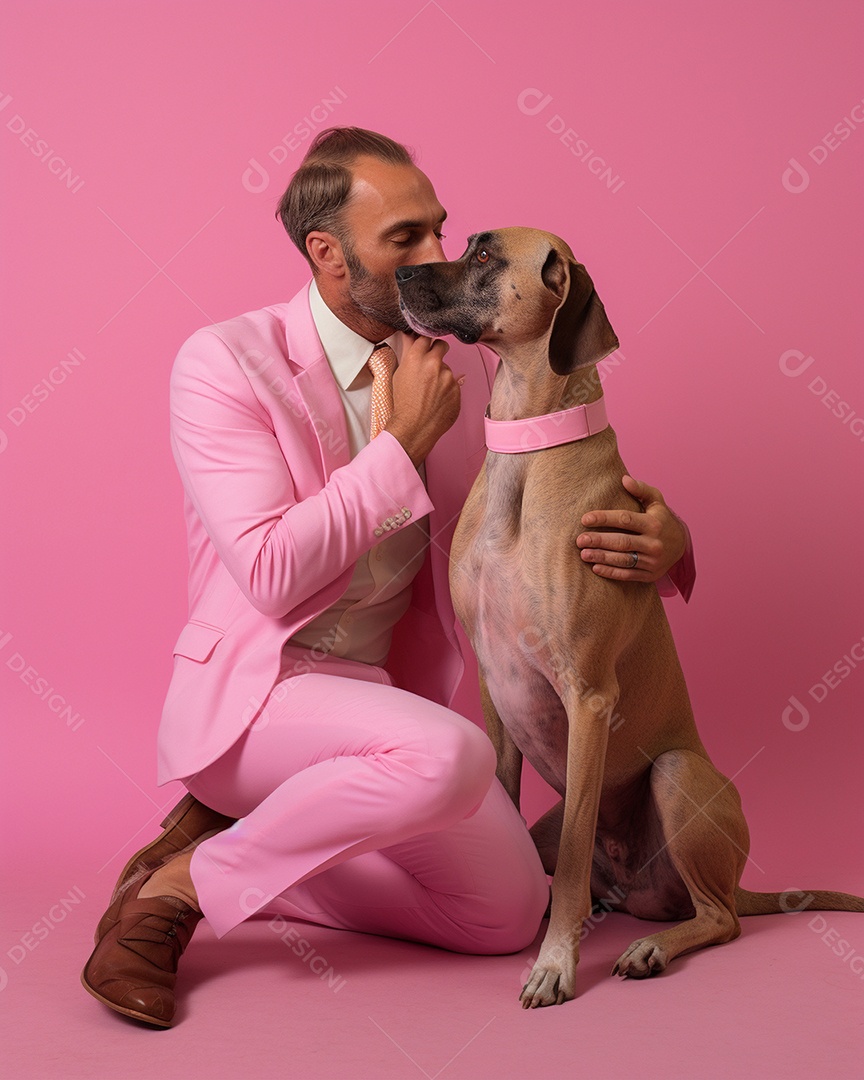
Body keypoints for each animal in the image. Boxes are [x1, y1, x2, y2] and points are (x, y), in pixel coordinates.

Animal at [395, 223, 859, 1006]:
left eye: (484, 255)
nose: (399, 276)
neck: (528, 449)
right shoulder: (494, 690)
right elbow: (509, 804)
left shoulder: (587, 696)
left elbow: (577, 856)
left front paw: (554, 963)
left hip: (675, 778)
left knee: (720, 918)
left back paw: (649, 949)